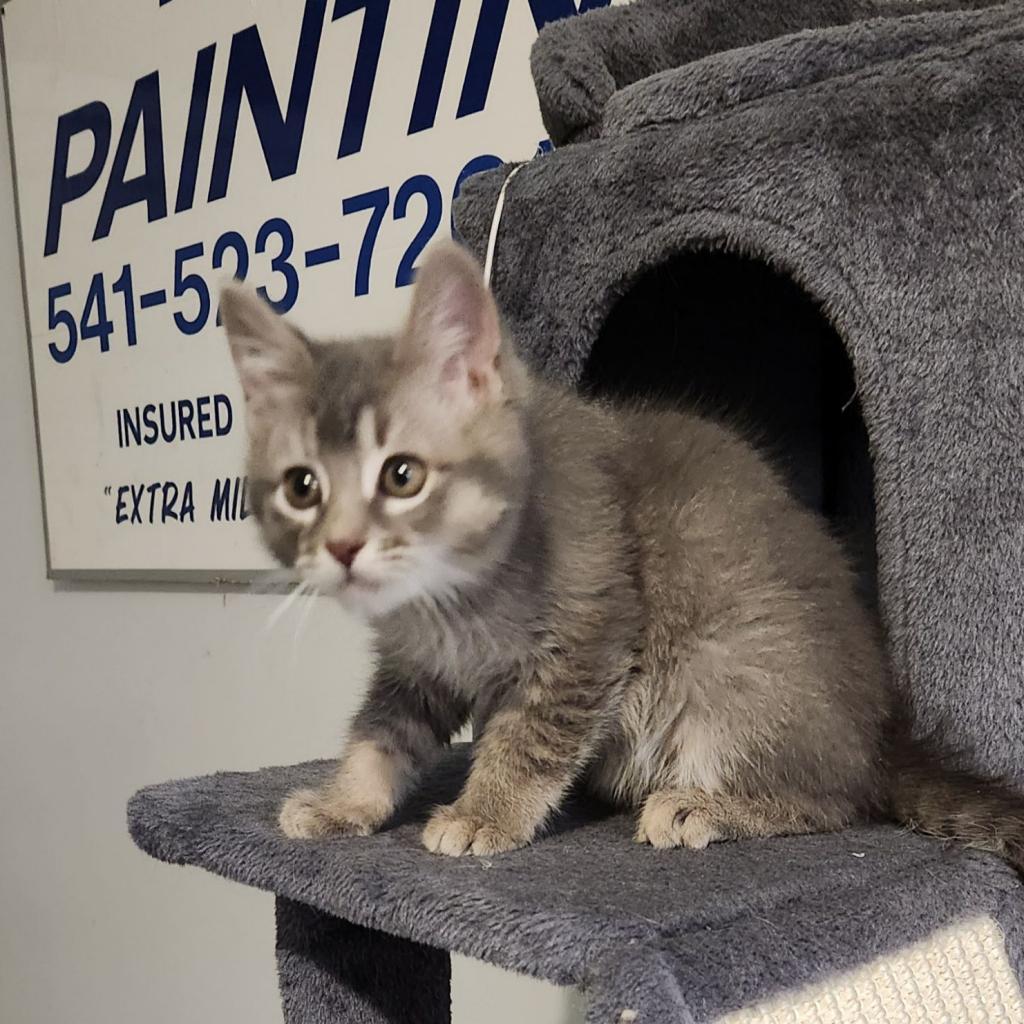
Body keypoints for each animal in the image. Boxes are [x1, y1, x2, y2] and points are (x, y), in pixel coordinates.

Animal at [222, 241, 1024, 872]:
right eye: (301, 488)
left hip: (732, 669)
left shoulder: (591, 631)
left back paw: (707, 806)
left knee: (838, 802)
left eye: (401, 475)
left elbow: (529, 738)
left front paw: (486, 813)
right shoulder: (417, 665)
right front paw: (343, 802)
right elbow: (382, 730)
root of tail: (880, 735)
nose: (343, 547)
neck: (452, 596)